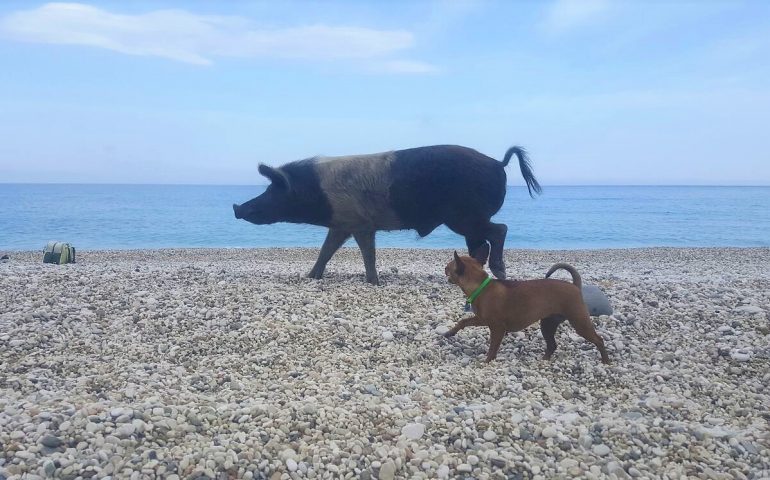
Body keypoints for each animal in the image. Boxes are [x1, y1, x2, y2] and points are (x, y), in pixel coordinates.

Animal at [234, 144, 540, 284]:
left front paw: (373, 282)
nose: (237, 208)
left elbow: (367, 253)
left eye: (272, 191)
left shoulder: (360, 223)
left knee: (500, 230)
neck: (318, 191)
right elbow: (326, 250)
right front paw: (311, 277)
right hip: (467, 222)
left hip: (465, 217)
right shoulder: (342, 224)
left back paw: (499, 273)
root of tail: (498, 163)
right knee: (481, 244)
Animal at [440, 253, 608, 362]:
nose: (444, 268)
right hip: (547, 325)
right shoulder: (481, 319)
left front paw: (487, 361)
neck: (481, 287)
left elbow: (493, 347)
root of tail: (575, 286)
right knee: (552, 345)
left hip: (580, 323)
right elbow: (462, 322)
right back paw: (544, 360)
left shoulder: (497, 328)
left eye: (448, 267)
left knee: (599, 340)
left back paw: (606, 361)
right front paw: (450, 332)